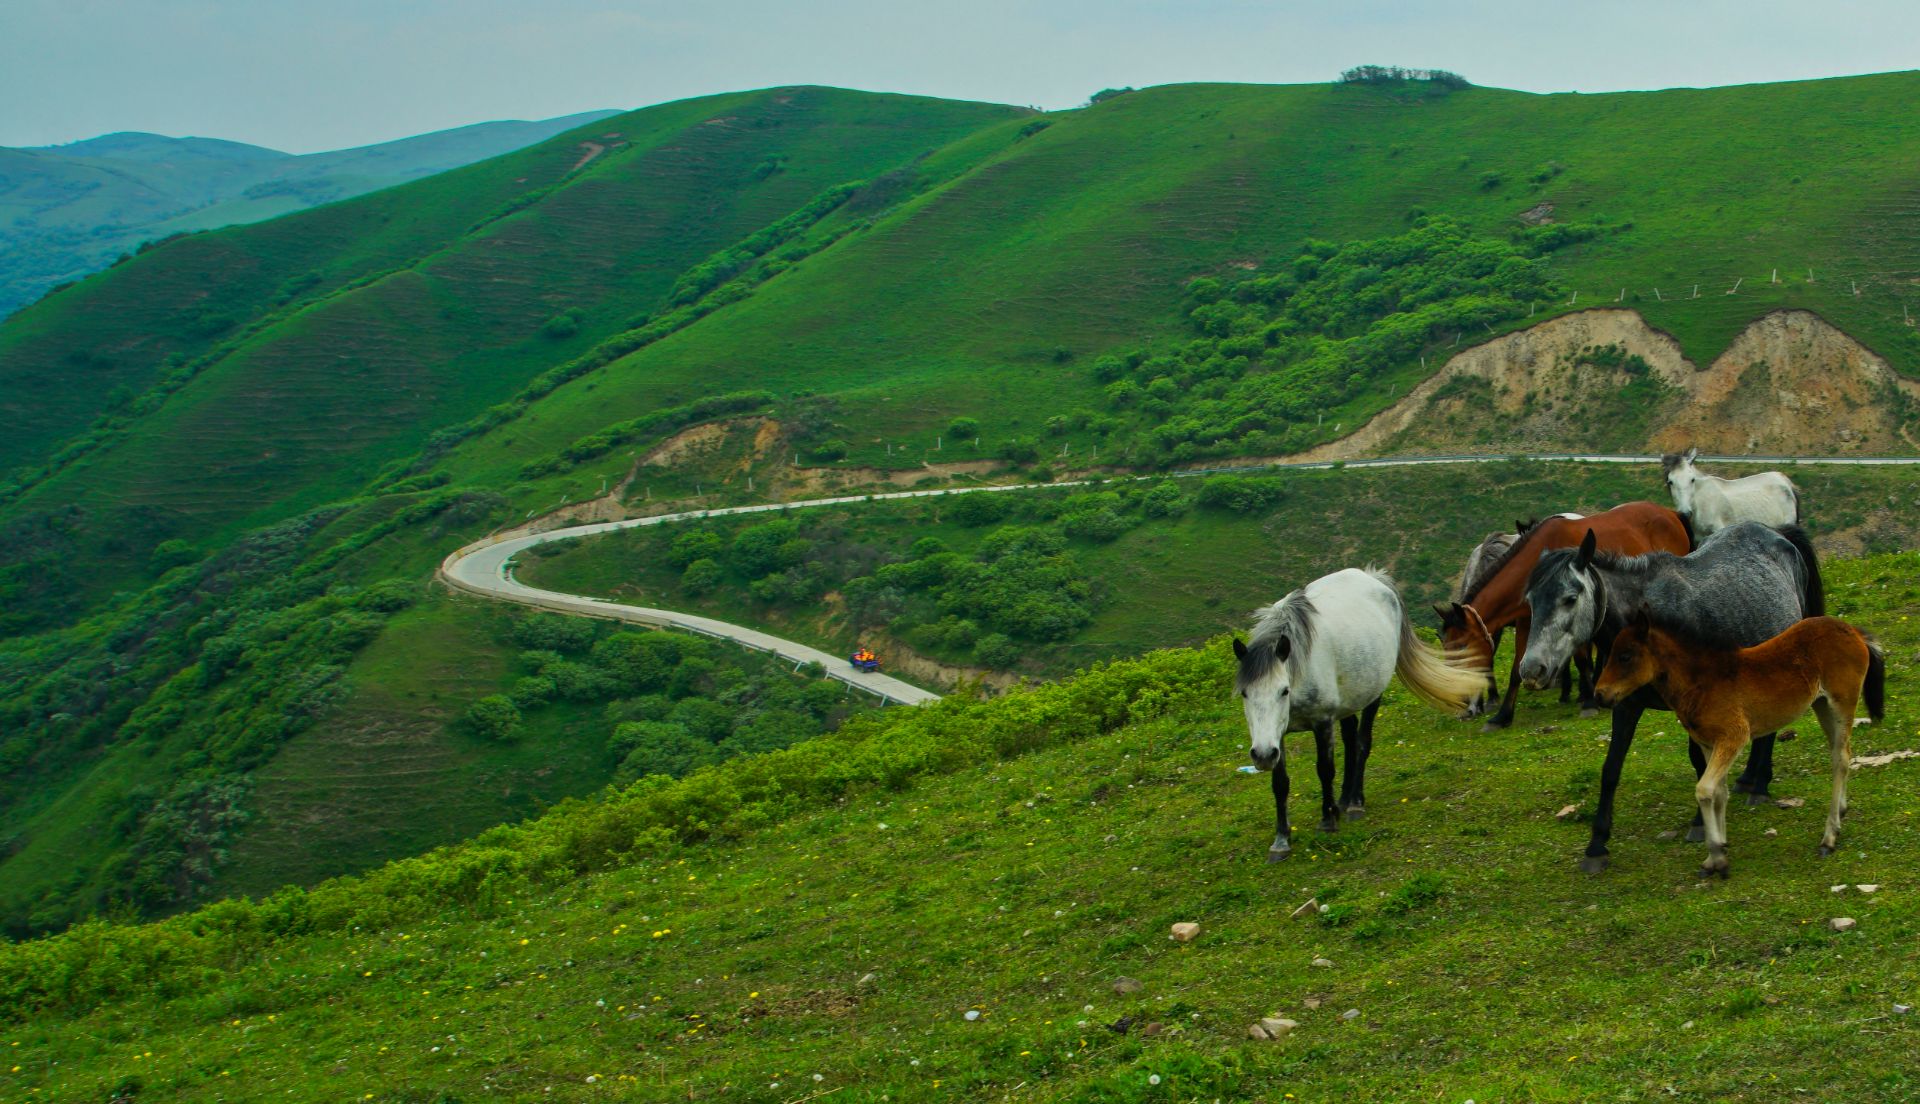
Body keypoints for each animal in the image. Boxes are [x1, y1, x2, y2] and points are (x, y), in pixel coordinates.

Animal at [1236, 568, 1489, 864]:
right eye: (1244, 693)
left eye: (1283, 690)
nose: (1262, 756)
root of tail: (1373, 577)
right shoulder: (1277, 735)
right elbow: (1280, 784)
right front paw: (1281, 841)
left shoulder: (1322, 722)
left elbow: (1325, 770)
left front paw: (1327, 821)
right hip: (1348, 702)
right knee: (1349, 739)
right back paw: (1344, 800)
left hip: (1372, 695)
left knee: (1361, 743)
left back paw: (1355, 803)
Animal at [1436, 499, 1689, 725]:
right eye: (1446, 648)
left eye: (1463, 647)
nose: (1460, 703)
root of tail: (1671, 513)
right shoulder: (1526, 620)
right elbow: (1517, 667)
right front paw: (1502, 716)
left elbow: (1581, 659)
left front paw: (1588, 702)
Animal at [1520, 522, 1820, 875]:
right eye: (1530, 600)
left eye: (1570, 599)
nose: (1532, 670)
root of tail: (1777, 533)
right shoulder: (1625, 705)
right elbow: (1610, 769)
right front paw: (1596, 846)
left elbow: (1699, 763)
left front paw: (1700, 824)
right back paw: (1748, 780)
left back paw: (1759, 786)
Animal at [1589, 610, 1889, 875]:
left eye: (1625, 656)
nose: (1600, 695)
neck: (1701, 682)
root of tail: (1854, 632)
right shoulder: (1708, 744)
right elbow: (1719, 793)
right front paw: (1715, 853)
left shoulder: (1733, 737)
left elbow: (1704, 790)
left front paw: (1718, 856)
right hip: (1822, 705)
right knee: (1841, 752)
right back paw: (1841, 812)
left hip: (1842, 702)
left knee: (1841, 758)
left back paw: (1829, 838)